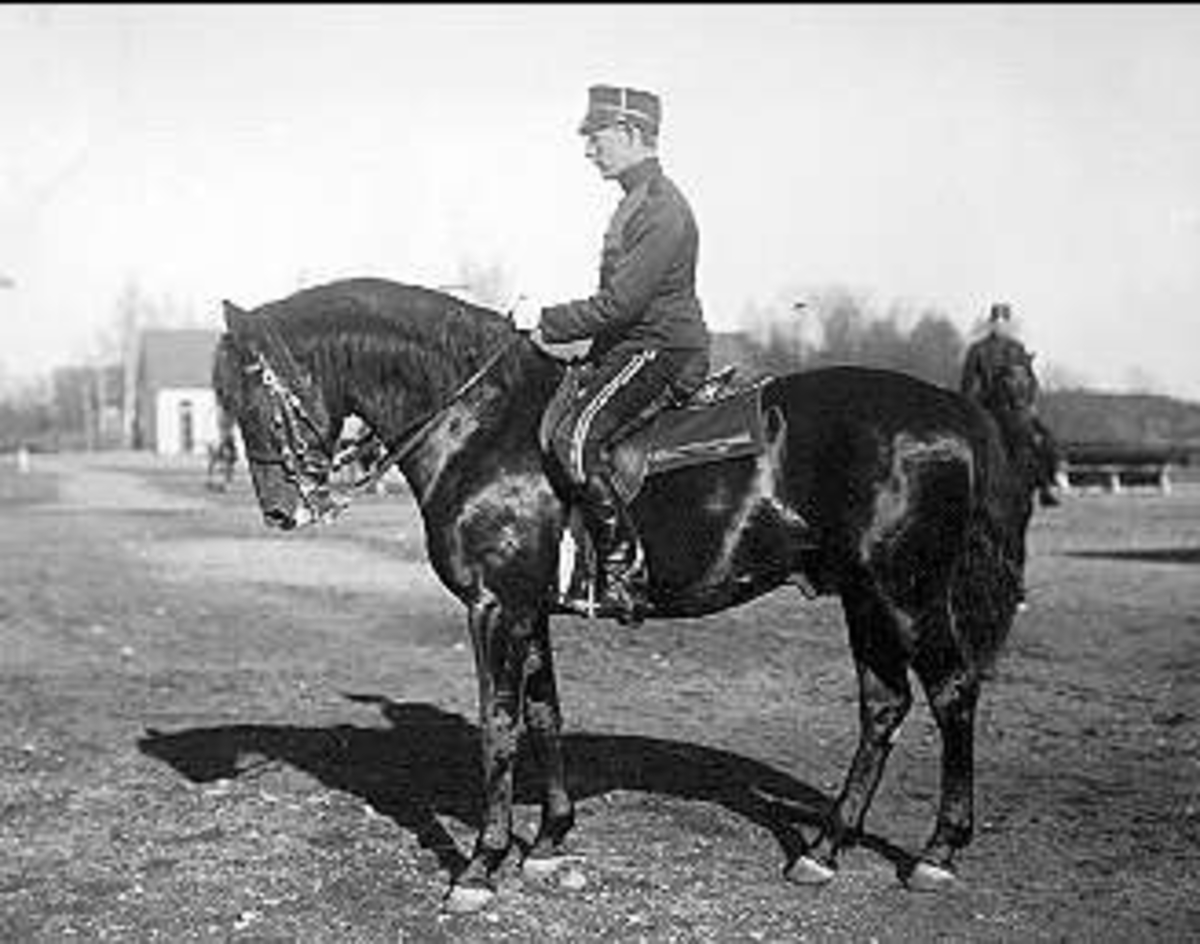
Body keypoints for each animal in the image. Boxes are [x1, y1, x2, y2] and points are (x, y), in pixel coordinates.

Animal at [211, 277, 1039, 914]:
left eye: (253, 391)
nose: (281, 510)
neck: (480, 422)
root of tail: (950, 411)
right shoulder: (529, 609)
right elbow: (544, 713)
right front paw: (548, 840)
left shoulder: (496, 608)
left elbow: (499, 725)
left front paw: (480, 865)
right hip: (862, 596)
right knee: (884, 706)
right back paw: (826, 848)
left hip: (906, 592)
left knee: (952, 693)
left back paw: (937, 852)